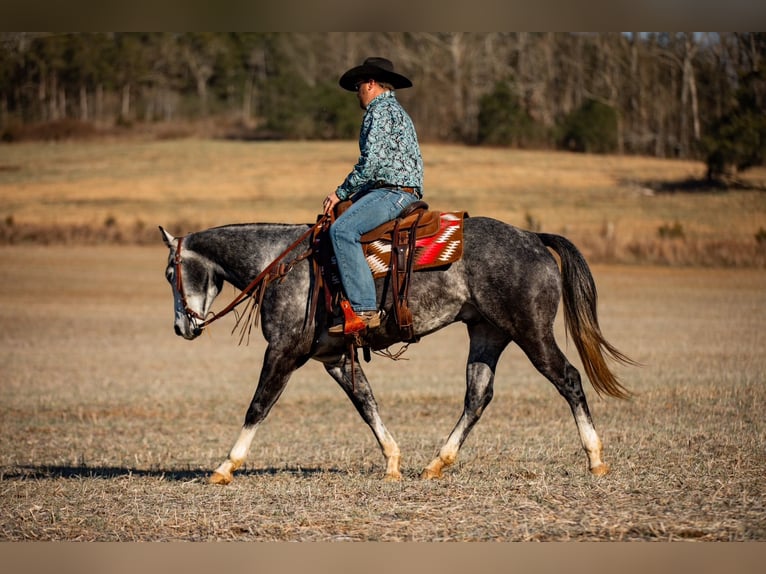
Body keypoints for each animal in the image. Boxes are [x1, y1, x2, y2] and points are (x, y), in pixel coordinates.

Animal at [159, 215, 634, 485]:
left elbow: (258, 406)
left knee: (568, 379)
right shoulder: (335, 359)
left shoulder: (283, 351)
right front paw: (392, 463)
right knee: (477, 396)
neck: (281, 264)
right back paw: (436, 463)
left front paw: (225, 467)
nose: (182, 327)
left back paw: (595, 459)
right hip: (487, 334)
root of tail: (533, 238)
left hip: (531, 332)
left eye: (169, 273)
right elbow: (367, 406)